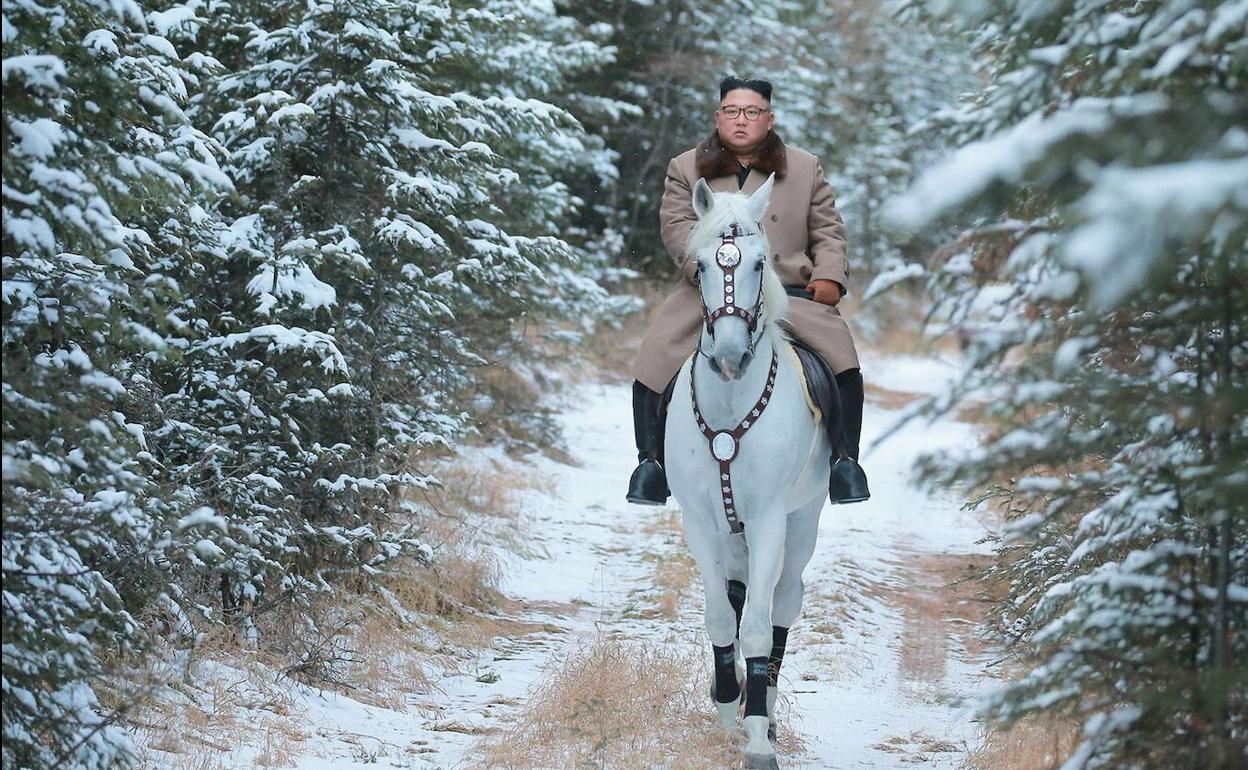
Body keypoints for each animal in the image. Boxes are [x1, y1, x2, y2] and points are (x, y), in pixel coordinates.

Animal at [668, 175, 833, 768]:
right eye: (700, 266)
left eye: (760, 264)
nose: (729, 356)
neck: (730, 404)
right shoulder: (699, 521)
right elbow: (722, 616)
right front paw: (724, 709)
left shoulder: (767, 522)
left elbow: (760, 628)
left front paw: (758, 735)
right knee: (738, 596)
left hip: (803, 521)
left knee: (783, 601)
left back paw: (767, 704)